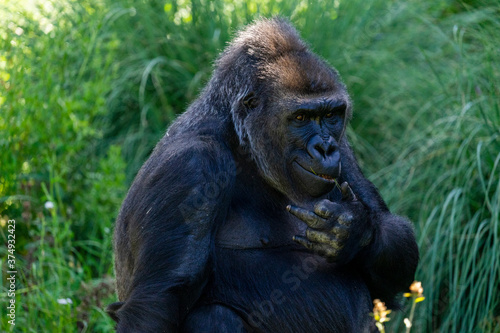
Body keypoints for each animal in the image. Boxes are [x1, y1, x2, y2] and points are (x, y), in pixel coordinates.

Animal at [108, 17, 418, 332]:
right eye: (301, 118)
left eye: (331, 115)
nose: (325, 148)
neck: (241, 142)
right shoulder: (192, 165)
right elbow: (159, 301)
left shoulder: (344, 149)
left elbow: (389, 274)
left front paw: (351, 229)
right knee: (212, 315)